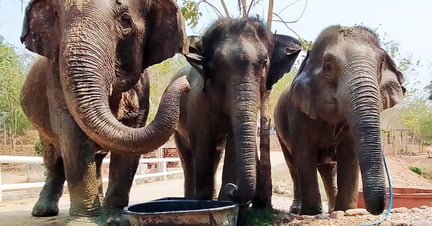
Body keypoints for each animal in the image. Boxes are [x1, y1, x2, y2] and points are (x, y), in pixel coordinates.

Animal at [19, 0, 189, 224]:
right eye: (58, 19)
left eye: (125, 21)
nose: (186, 83)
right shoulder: (56, 77)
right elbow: (73, 134)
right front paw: (84, 223)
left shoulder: (142, 87)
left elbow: (132, 135)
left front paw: (117, 219)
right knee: (53, 158)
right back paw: (44, 211)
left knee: (96, 158)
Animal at [170, 17, 302, 205]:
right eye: (217, 65)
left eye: (264, 63)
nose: (232, 189)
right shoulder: (197, 104)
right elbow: (202, 144)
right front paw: (203, 202)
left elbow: (233, 144)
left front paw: (225, 199)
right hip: (177, 128)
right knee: (187, 159)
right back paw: (189, 199)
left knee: (215, 156)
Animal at [274, 24, 404, 215]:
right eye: (328, 66)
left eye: (381, 63)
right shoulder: (297, 113)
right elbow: (304, 155)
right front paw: (312, 212)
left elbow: (349, 156)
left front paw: (345, 209)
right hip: (279, 132)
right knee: (293, 167)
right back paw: (298, 209)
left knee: (327, 169)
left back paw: (331, 210)